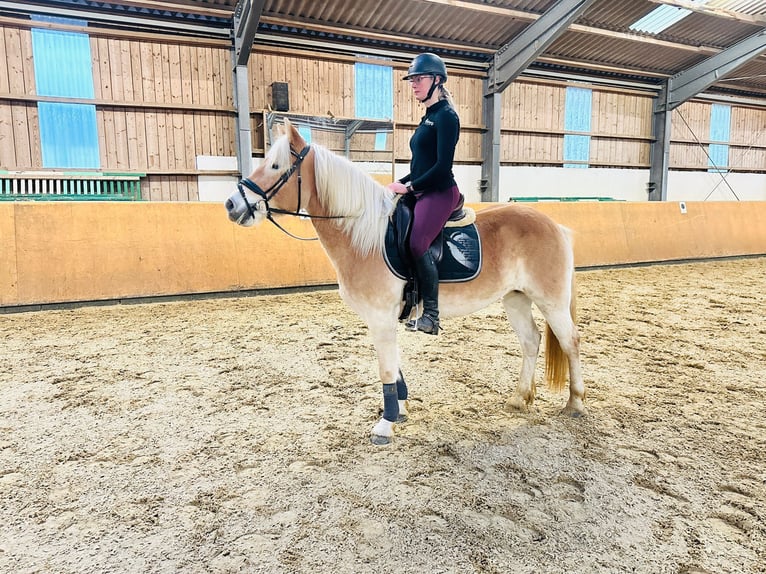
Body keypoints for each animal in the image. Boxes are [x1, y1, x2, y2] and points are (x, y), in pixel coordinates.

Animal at [225, 120, 584, 446]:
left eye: (275, 166)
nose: (231, 204)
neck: (365, 236)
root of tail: (556, 226)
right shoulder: (381, 319)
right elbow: (394, 367)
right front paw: (400, 408)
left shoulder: (381, 318)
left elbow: (386, 369)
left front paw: (385, 425)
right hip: (516, 298)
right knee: (531, 341)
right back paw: (520, 398)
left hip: (550, 300)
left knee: (571, 342)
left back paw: (575, 404)